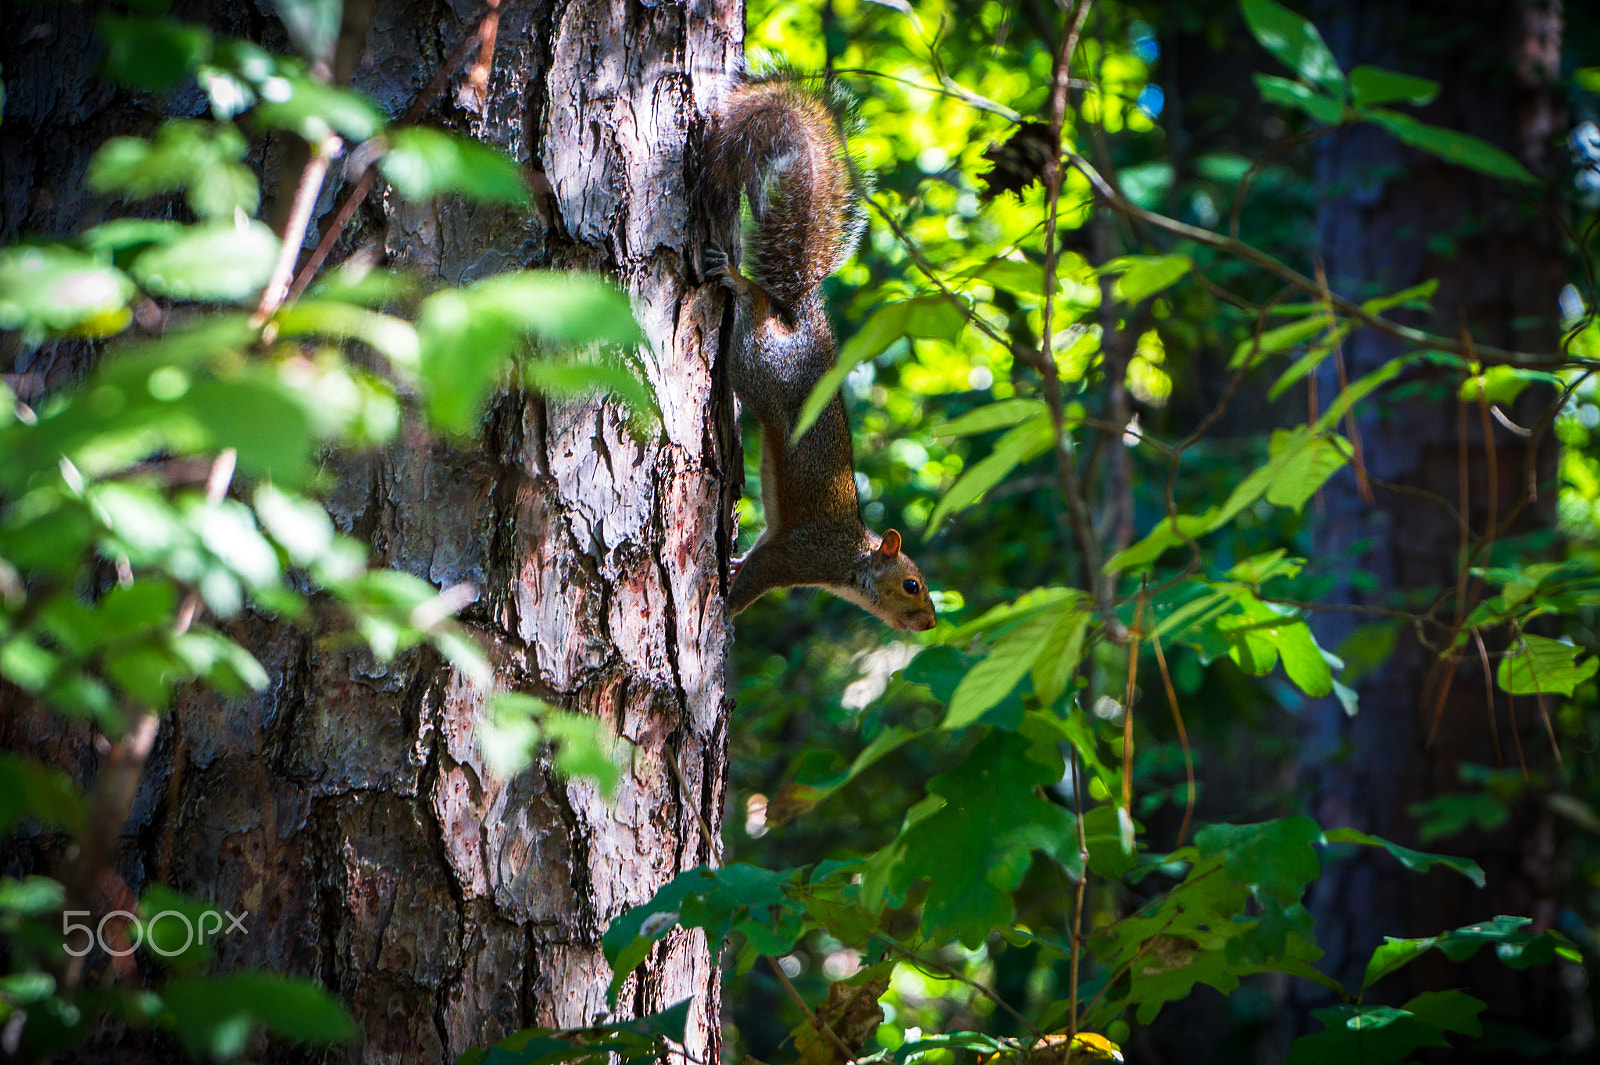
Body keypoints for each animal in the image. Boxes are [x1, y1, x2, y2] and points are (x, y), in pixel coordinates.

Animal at [704, 76, 934, 630]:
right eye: (911, 585)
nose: (931, 623)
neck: (851, 562)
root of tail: (804, 319)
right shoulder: (798, 556)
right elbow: (756, 575)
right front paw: (726, 610)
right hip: (762, 366)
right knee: (756, 310)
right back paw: (740, 283)